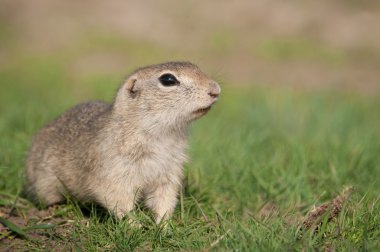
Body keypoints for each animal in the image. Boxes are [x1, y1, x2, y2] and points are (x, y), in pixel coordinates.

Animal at [24, 61, 220, 222]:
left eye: (196, 66)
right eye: (168, 79)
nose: (216, 90)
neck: (162, 133)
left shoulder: (169, 171)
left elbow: (164, 199)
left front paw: (163, 226)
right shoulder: (115, 169)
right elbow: (118, 199)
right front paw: (136, 227)